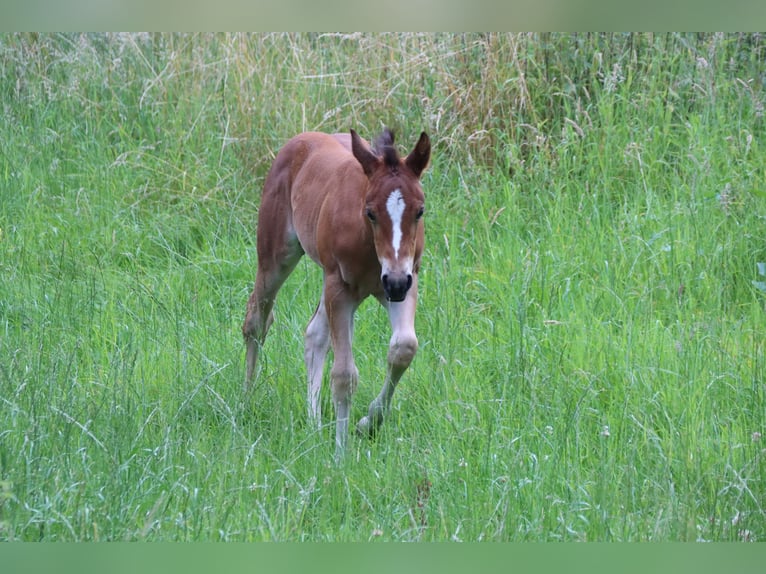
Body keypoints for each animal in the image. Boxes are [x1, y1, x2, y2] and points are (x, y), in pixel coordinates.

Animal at [243, 128, 428, 462]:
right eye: (370, 212)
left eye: (420, 210)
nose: (395, 282)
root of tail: (301, 139)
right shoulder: (340, 288)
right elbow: (344, 374)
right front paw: (341, 455)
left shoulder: (406, 282)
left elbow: (404, 348)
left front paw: (367, 424)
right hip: (277, 255)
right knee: (257, 319)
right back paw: (247, 399)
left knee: (314, 334)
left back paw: (314, 424)